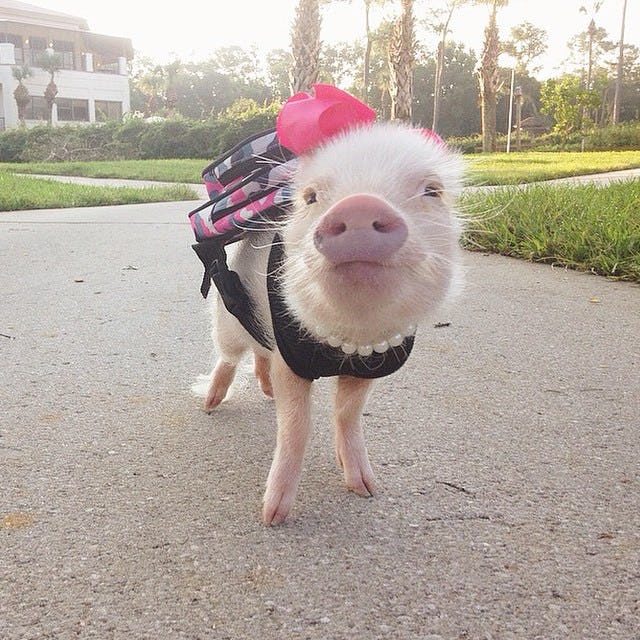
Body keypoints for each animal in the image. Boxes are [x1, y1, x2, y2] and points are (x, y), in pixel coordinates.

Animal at [202, 121, 464, 525]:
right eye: (311, 197)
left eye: (432, 190)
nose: (360, 205)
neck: (349, 337)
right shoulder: (290, 361)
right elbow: (296, 426)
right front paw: (272, 516)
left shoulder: (369, 368)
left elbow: (347, 414)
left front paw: (366, 488)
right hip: (226, 317)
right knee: (229, 355)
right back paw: (210, 404)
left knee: (260, 354)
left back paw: (266, 392)